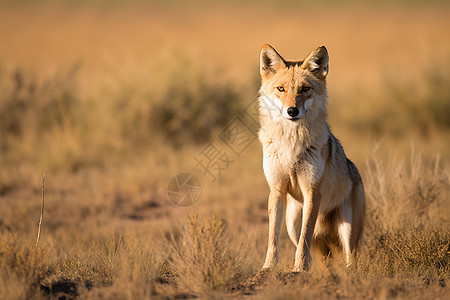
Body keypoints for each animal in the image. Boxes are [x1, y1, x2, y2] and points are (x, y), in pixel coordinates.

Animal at [256, 44, 366, 272]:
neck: (291, 143)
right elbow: (272, 237)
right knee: (323, 257)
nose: (292, 111)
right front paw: (268, 267)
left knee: (351, 257)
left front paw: (299, 268)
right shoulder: (276, 189)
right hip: (291, 223)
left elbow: (306, 237)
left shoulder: (312, 191)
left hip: (348, 227)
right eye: (281, 89)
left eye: (305, 89)